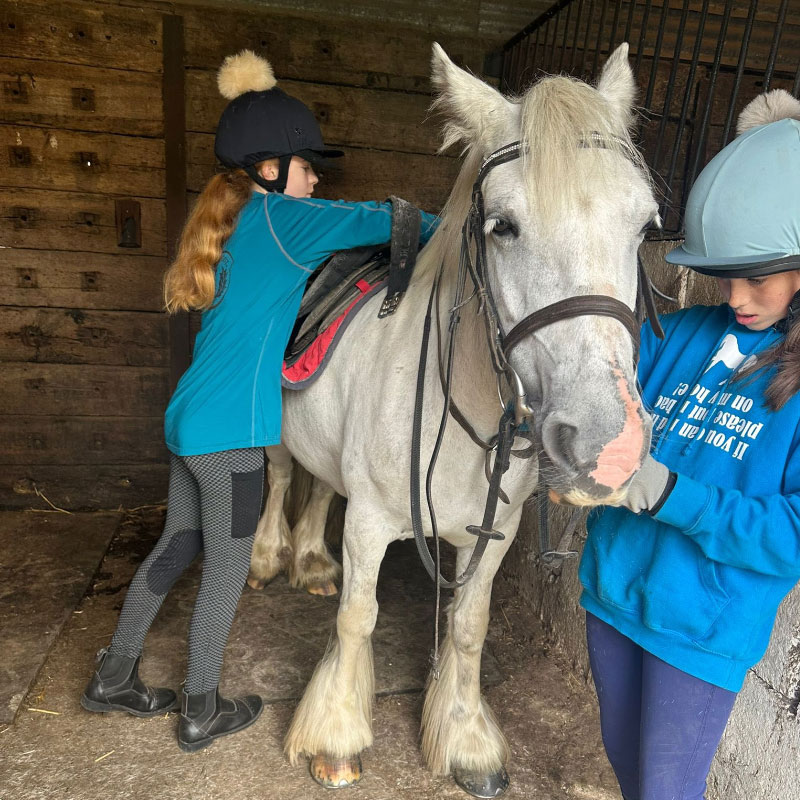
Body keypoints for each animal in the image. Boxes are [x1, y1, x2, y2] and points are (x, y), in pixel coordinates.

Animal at [248, 42, 658, 796]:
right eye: (503, 226)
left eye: (645, 227)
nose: (606, 444)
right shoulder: (373, 523)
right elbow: (358, 618)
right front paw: (337, 737)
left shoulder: (493, 534)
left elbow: (469, 627)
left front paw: (466, 741)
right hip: (280, 445)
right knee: (285, 475)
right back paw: (269, 559)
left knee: (320, 486)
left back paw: (312, 563)